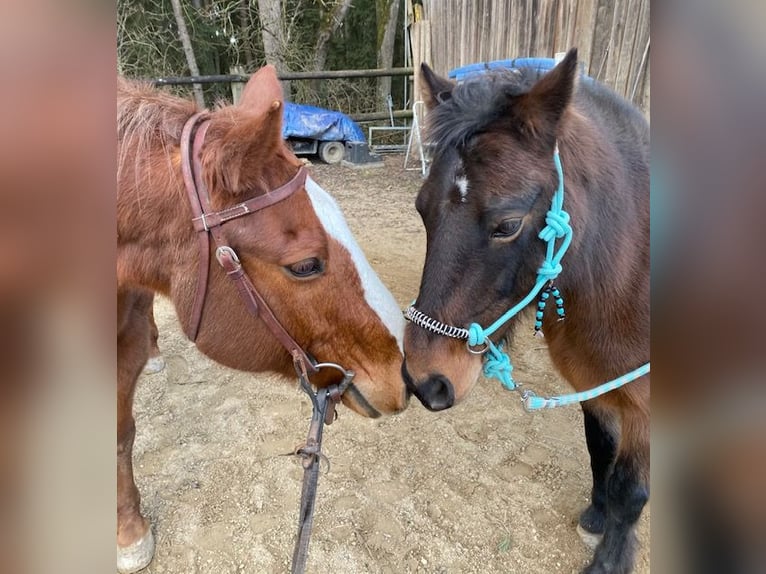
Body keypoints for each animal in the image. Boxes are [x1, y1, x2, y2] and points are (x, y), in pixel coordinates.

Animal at [404, 50, 652, 574]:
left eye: (508, 225)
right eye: (421, 209)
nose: (425, 380)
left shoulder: (644, 403)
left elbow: (631, 491)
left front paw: (609, 560)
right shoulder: (594, 386)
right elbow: (600, 451)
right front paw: (596, 517)